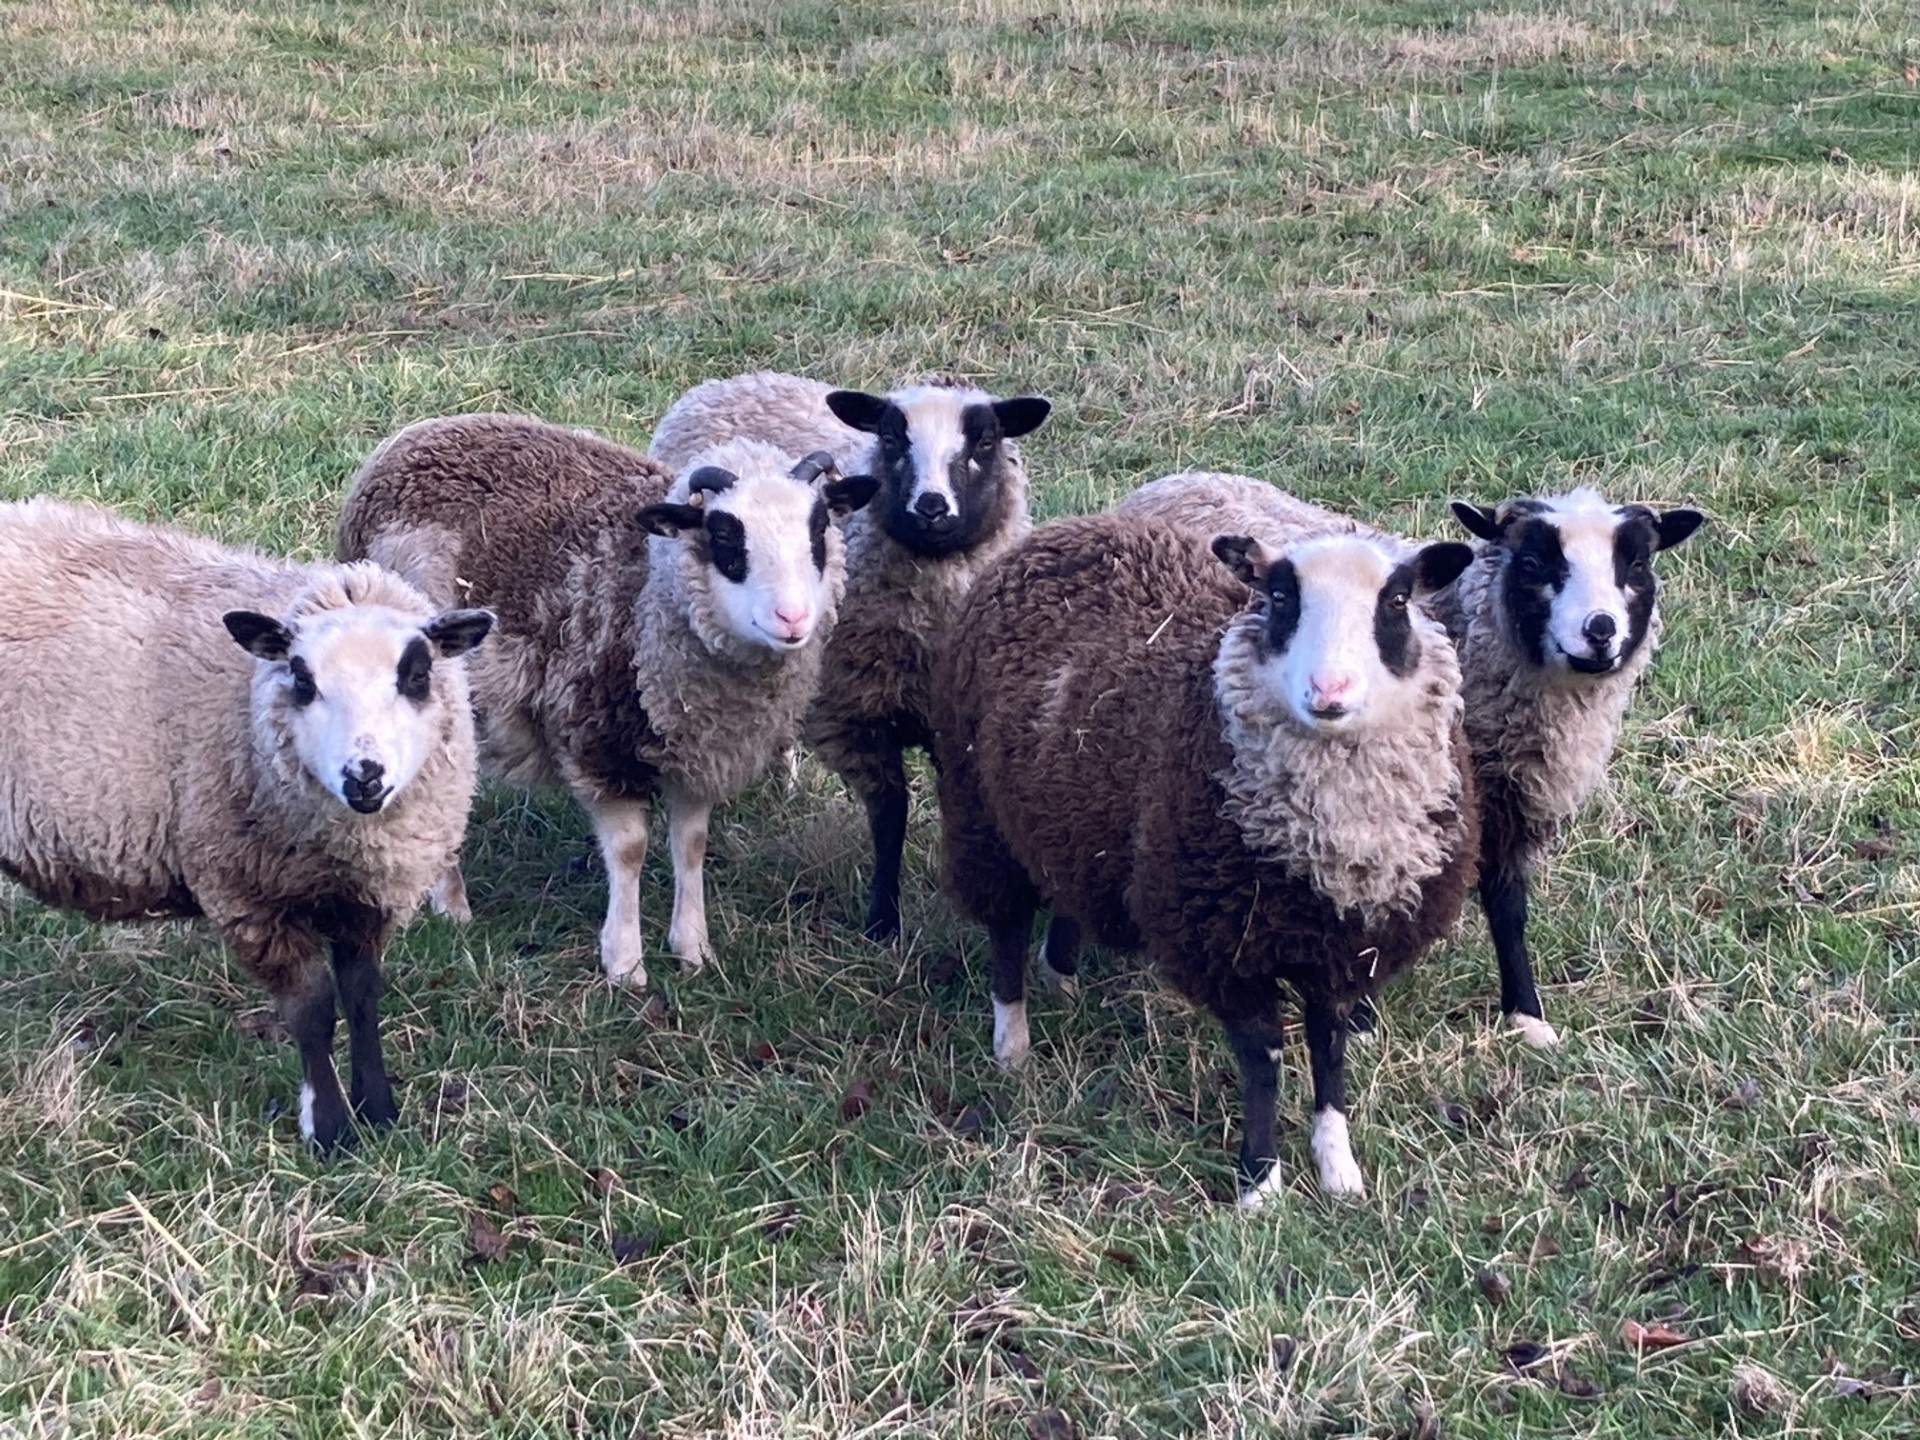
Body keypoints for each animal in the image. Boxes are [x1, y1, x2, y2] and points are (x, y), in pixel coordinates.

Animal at [0, 498, 493, 1152]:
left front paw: (379, 1112)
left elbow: (363, 996)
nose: (364, 776)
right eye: (302, 680)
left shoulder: (370, 895)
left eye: (416, 675)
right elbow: (313, 1010)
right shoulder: (248, 894)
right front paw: (329, 1130)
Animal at [338, 414, 879, 989]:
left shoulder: (699, 752)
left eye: (818, 529)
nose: (793, 618)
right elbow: (629, 850)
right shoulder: (593, 739)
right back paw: (451, 903)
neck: (649, 593)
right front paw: (625, 964)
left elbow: (691, 844)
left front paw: (693, 949)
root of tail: (410, 440)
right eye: (725, 535)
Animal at [647, 371, 1051, 941]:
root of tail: (735, 380)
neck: (928, 633)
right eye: (891, 438)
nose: (932, 507)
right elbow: (890, 815)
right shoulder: (856, 718)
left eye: (986, 441)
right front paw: (883, 922)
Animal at [932, 508, 1478, 1202]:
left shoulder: (1345, 949)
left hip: (1071, 812)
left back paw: (1062, 980)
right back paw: (1012, 1045)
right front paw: (1261, 1183)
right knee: (1005, 927)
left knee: (1066, 890)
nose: (1329, 690)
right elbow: (1264, 1058)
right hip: (978, 811)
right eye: (1280, 597)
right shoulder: (1226, 946)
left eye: (1398, 600)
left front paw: (1338, 1168)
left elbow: (1329, 1050)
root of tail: (1063, 530)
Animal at [1118, 471, 1703, 1047]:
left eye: (1636, 564)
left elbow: (1509, 910)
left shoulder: (1510, 807)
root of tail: (1171, 479)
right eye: (1533, 564)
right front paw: (1358, 1017)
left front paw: (1526, 1015)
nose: (1600, 630)